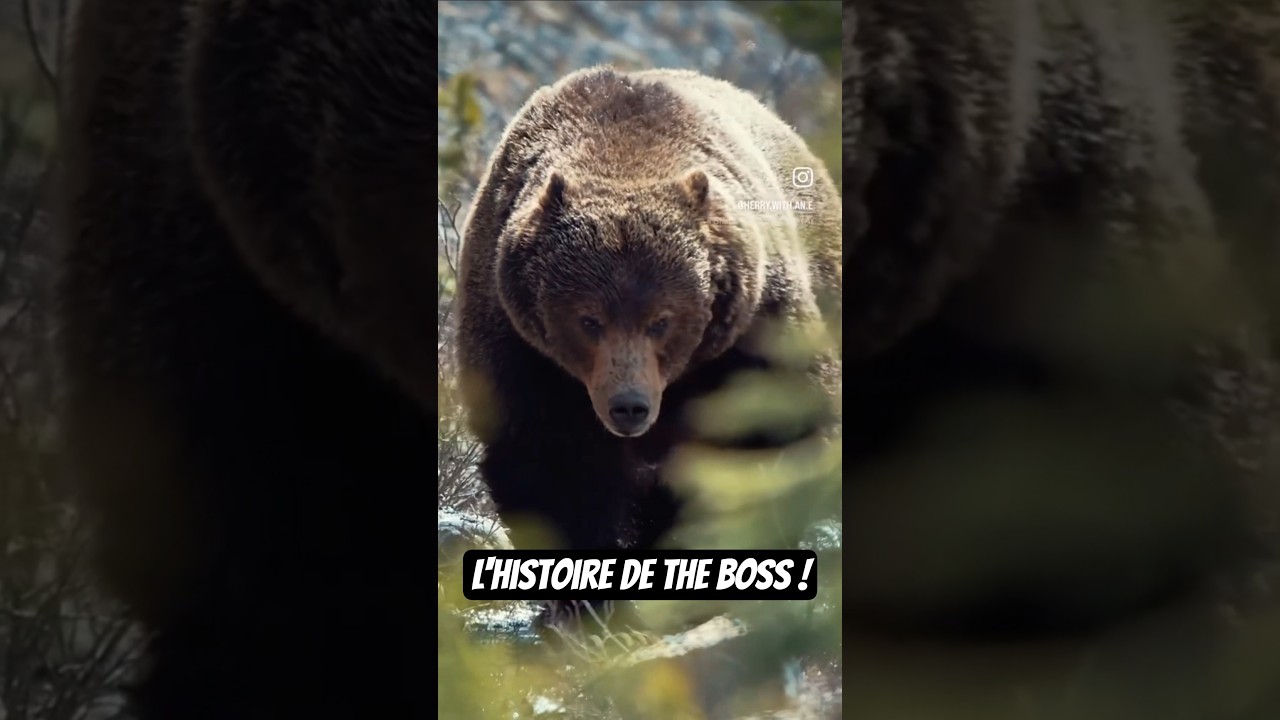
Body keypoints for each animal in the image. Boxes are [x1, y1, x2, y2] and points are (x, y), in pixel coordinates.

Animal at [453, 67, 842, 619]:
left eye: (662, 319)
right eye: (588, 319)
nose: (629, 406)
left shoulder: (755, 326)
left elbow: (771, 433)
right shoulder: (521, 343)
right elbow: (552, 456)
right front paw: (586, 601)